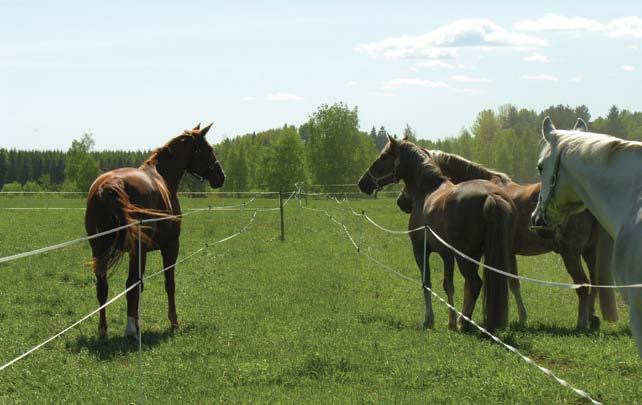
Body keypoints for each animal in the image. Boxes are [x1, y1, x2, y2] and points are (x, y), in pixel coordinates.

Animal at [84, 122, 225, 338]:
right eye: (209, 149)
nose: (221, 176)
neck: (162, 176)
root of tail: (108, 185)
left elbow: (140, 285)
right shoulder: (170, 247)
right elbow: (169, 283)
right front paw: (173, 321)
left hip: (100, 250)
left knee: (103, 287)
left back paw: (103, 330)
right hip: (137, 250)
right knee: (130, 284)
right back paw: (131, 330)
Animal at [358, 136, 516, 332]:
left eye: (383, 156)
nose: (362, 183)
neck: (428, 189)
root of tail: (491, 195)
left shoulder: (420, 250)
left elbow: (426, 283)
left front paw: (429, 320)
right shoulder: (446, 255)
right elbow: (448, 285)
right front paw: (450, 320)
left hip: (465, 257)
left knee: (475, 283)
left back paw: (464, 322)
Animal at [396, 145, 616, 328]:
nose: (401, 201)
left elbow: (504, 283)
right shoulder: (508, 252)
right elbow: (513, 283)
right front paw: (521, 317)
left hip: (571, 253)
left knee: (583, 285)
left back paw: (582, 322)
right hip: (590, 251)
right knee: (595, 283)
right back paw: (592, 318)